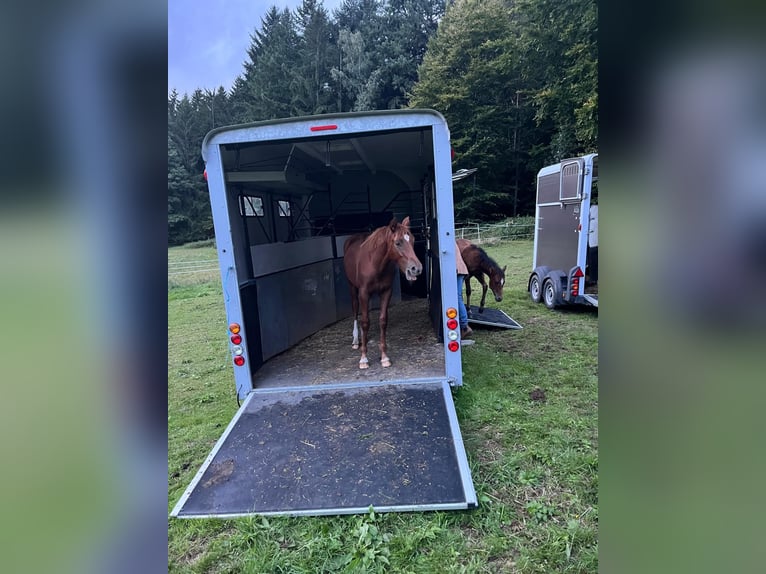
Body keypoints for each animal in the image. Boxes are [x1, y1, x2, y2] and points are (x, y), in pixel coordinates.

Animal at [343, 216, 423, 369]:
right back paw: (356, 340)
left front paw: (384, 357)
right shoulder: (363, 293)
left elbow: (382, 321)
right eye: (398, 243)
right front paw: (363, 359)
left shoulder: (386, 292)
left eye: (413, 240)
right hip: (352, 288)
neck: (375, 263)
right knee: (356, 311)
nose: (416, 269)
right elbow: (365, 322)